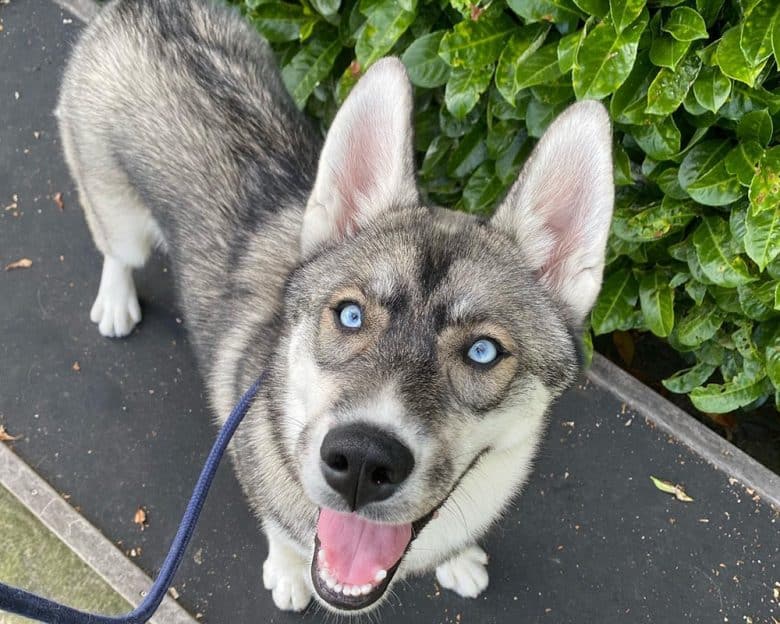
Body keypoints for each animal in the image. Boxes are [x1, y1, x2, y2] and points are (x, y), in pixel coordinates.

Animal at [56, 0, 616, 616]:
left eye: (483, 352)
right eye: (350, 315)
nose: (365, 461)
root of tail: (147, 9)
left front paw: (458, 559)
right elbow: (281, 530)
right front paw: (287, 571)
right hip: (116, 207)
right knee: (116, 248)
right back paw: (115, 301)